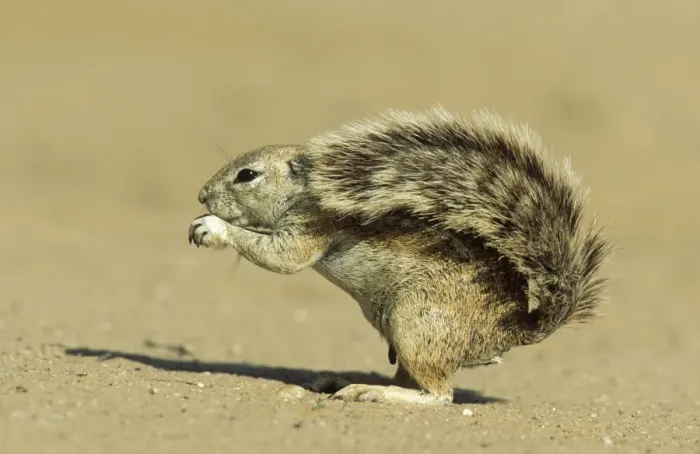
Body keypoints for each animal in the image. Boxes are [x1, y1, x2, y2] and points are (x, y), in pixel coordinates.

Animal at [188, 107, 611, 405]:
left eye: (247, 175)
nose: (202, 194)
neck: (311, 191)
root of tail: (514, 328)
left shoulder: (314, 226)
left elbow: (282, 258)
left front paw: (213, 228)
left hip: (416, 323)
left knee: (438, 395)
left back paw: (375, 393)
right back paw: (347, 382)